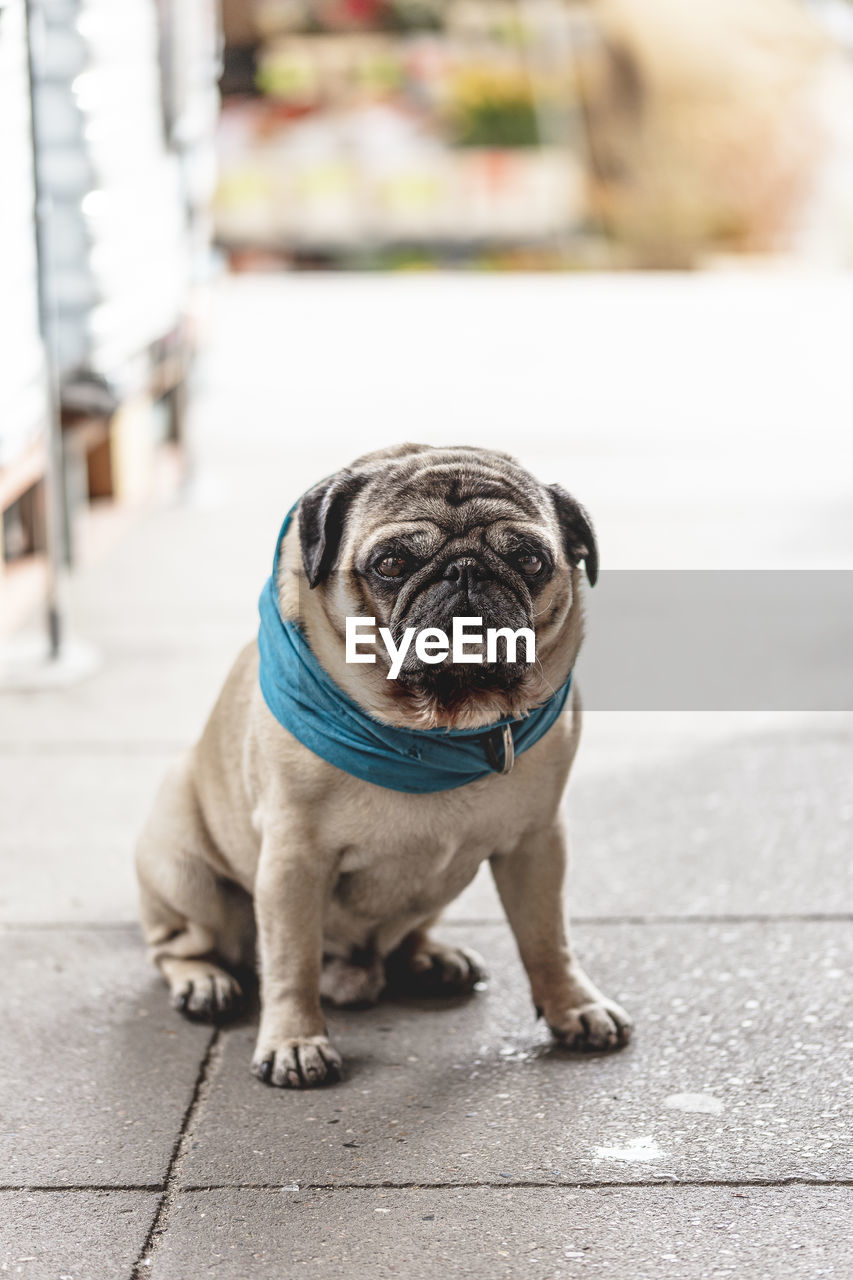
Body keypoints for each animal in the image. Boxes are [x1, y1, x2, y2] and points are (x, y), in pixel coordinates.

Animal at [136, 445, 630, 1085]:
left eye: (529, 559)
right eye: (392, 563)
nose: (465, 571)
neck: (439, 726)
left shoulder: (537, 843)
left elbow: (547, 937)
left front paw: (575, 1006)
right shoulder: (292, 863)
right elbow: (291, 961)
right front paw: (295, 1040)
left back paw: (432, 958)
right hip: (184, 867)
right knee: (178, 944)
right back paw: (206, 981)